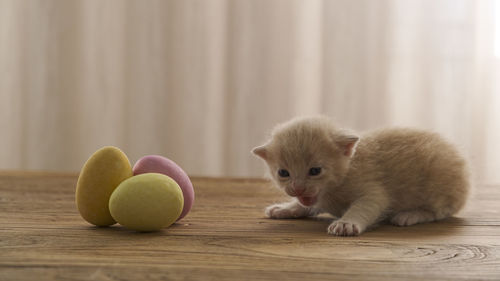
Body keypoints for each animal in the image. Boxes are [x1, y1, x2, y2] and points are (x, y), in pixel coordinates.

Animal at [252, 115, 470, 235]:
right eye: (283, 173)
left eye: (315, 171)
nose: (297, 188)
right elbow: (305, 205)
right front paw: (285, 208)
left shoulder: (372, 189)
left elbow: (367, 206)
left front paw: (346, 223)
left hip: (441, 185)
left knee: (440, 211)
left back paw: (411, 215)